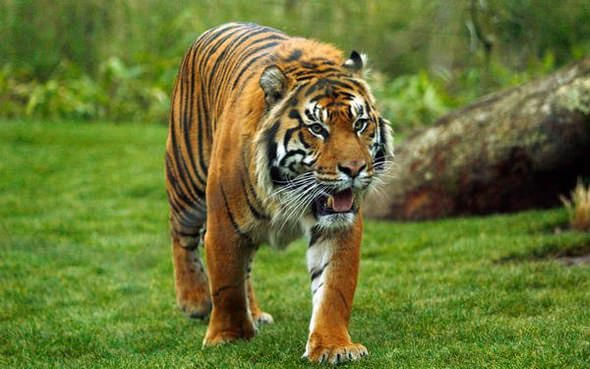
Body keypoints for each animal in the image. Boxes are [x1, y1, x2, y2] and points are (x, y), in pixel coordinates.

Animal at [164, 21, 396, 364]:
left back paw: (255, 313)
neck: (287, 189)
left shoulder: (339, 226)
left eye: (360, 124)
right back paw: (193, 300)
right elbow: (226, 284)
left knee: (244, 268)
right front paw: (228, 336)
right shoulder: (224, 223)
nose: (354, 169)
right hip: (187, 182)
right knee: (181, 235)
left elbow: (334, 288)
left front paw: (333, 346)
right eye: (317, 129)